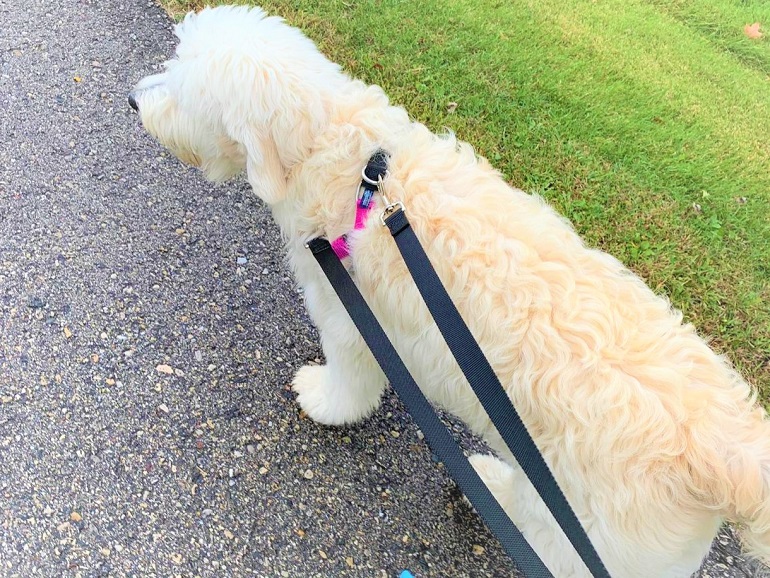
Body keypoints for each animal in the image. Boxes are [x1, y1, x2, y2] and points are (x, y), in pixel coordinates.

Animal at [132, 5, 768, 576]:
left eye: (181, 90)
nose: (134, 99)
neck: (342, 154)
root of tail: (731, 454)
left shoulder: (353, 318)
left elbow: (349, 381)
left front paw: (322, 400)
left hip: (592, 534)